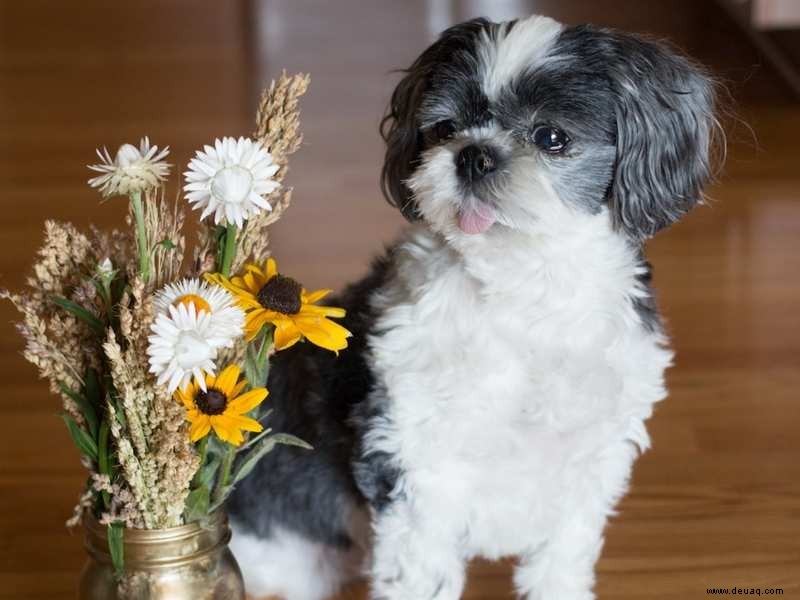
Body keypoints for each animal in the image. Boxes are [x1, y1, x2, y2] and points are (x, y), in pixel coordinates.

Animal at [228, 14, 720, 600]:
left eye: (551, 138)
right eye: (443, 129)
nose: (474, 153)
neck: (526, 289)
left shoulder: (589, 464)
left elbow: (561, 562)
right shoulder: (413, 459)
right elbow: (421, 571)